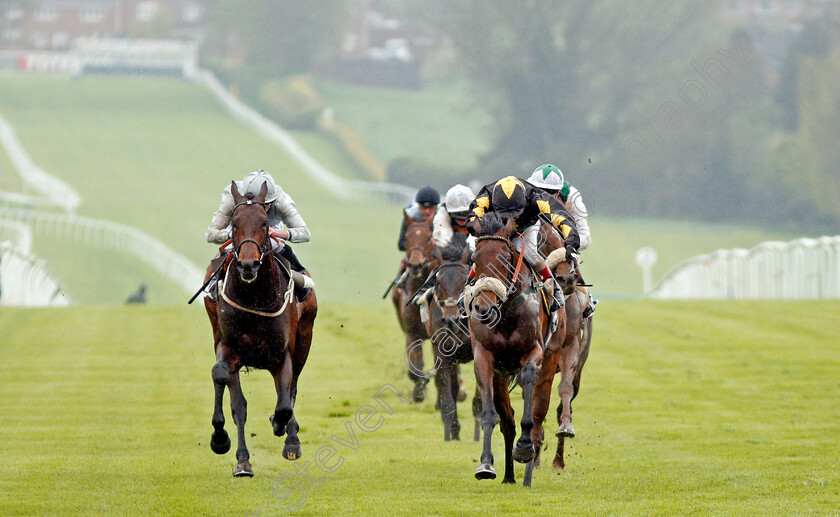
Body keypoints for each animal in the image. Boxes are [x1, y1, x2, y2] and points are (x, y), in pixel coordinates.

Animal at [203, 180, 318, 476]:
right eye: (234, 222)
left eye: (265, 223)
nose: (247, 264)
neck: (255, 297)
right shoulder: (229, 348)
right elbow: (229, 391)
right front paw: (223, 442)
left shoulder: (283, 355)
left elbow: (285, 403)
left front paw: (284, 431)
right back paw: (241, 457)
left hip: (305, 339)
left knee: (292, 390)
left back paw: (289, 435)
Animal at [392, 216, 442, 402]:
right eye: (406, 237)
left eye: (428, 238)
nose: (415, 265)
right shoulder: (412, 333)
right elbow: (414, 369)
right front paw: (420, 391)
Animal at [426, 234, 480, 440]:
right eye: (439, 282)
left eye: (464, 280)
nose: (451, 319)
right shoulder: (443, 354)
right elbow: (448, 396)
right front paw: (451, 432)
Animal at [466, 211, 552, 484]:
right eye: (474, 258)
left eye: (504, 258)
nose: (483, 308)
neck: (506, 314)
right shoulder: (484, 357)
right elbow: (489, 414)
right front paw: (485, 464)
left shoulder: (534, 351)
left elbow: (530, 405)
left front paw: (525, 448)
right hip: (501, 377)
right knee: (507, 421)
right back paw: (508, 477)